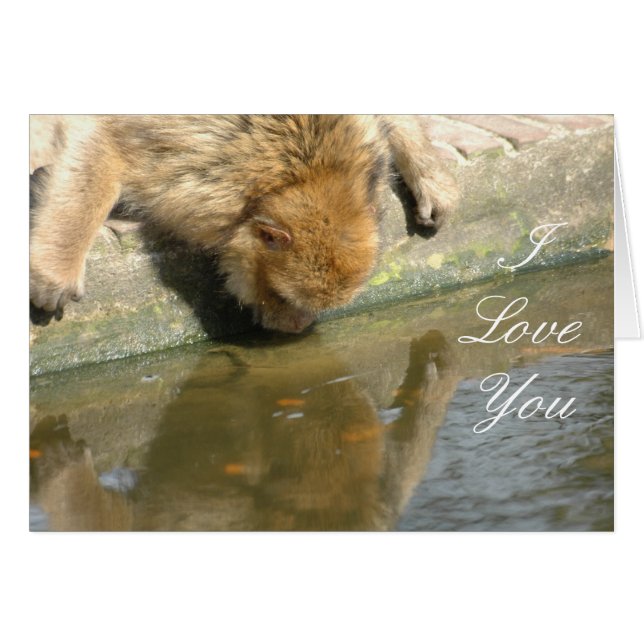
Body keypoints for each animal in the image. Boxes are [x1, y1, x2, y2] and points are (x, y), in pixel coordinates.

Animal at [29, 115, 458, 333]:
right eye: (284, 298)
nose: (297, 327)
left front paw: (426, 173)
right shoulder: (195, 161)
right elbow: (105, 140)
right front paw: (57, 268)